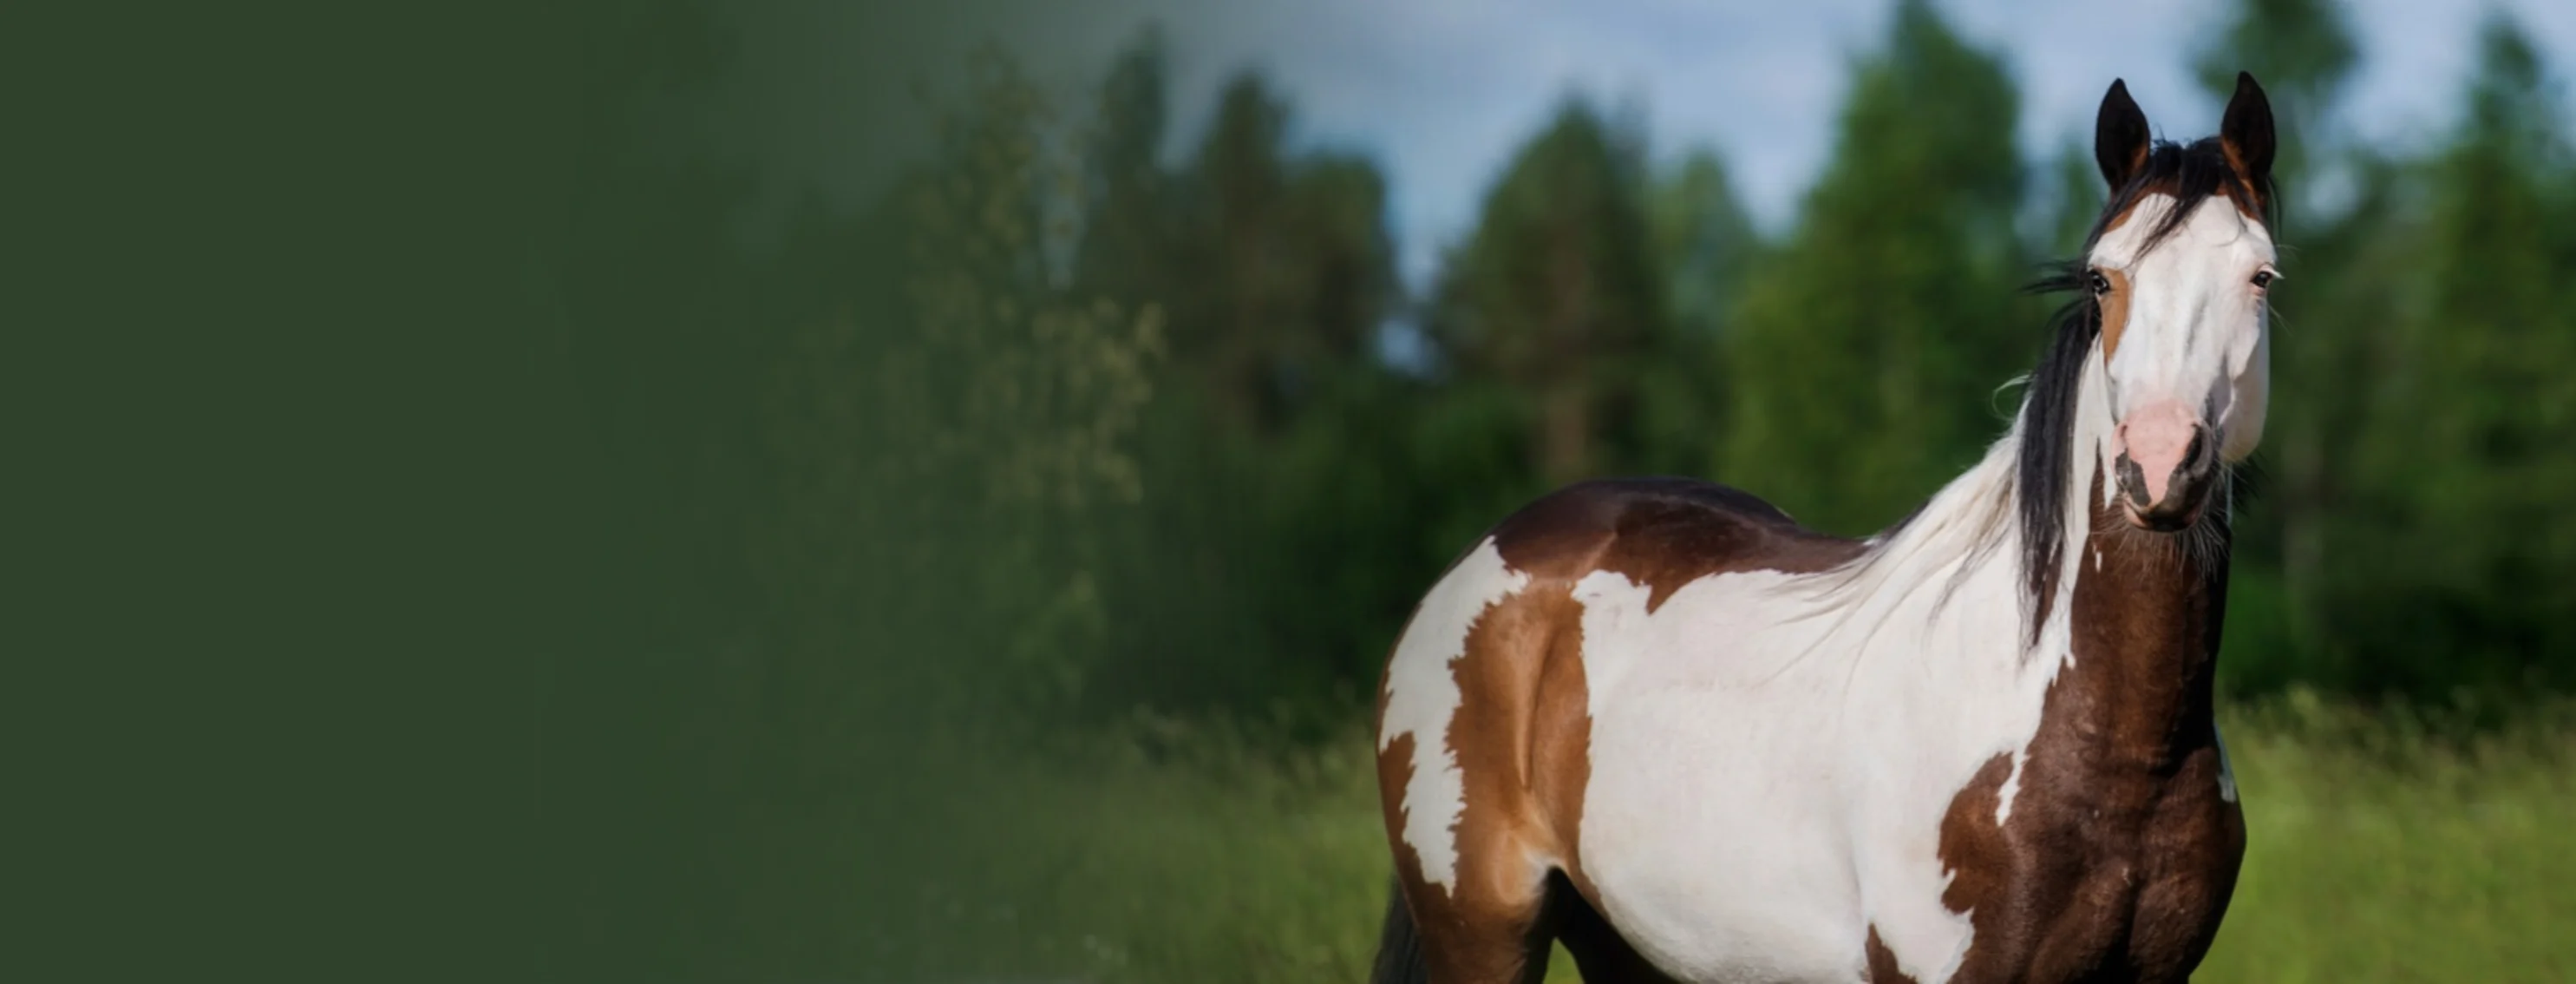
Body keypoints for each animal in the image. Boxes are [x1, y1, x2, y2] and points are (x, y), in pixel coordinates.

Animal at [1370, 74, 2280, 984]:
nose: (2158, 463)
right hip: (1483, 932)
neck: (2114, 744)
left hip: (1624, 942)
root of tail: (1481, 560)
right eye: (2100, 281)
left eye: (2261, 277)